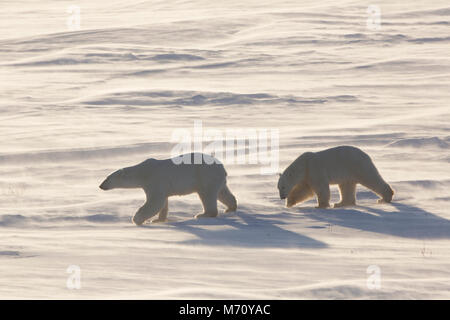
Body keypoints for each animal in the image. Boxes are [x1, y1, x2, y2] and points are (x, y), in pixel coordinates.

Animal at [100, 153, 237, 225]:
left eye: (107, 178)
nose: (100, 186)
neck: (142, 172)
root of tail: (222, 167)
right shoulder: (159, 186)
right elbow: (163, 203)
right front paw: (158, 220)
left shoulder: (154, 181)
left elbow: (154, 202)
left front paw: (136, 219)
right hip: (216, 179)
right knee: (223, 193)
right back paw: (230, 208)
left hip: (205, 176)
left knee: (207, 195)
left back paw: (202, 215)